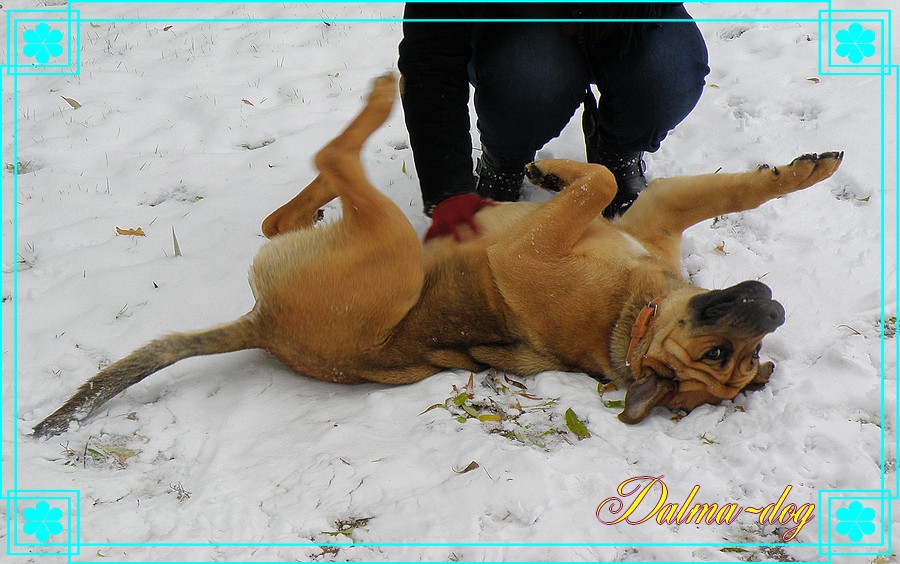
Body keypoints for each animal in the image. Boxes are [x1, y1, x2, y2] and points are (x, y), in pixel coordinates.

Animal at [29, 74, 844, 436]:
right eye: (725, 354)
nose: (774, 307)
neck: (635, 314)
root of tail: (262, 328)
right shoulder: (655, 213)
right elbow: (707, 187)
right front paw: (809, 167)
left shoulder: (543, 248)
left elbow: (604, 179)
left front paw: (555, 170)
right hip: (380, 237)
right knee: (286, 208)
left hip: (389, 246)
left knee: (331, 163)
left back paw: (376, 101)